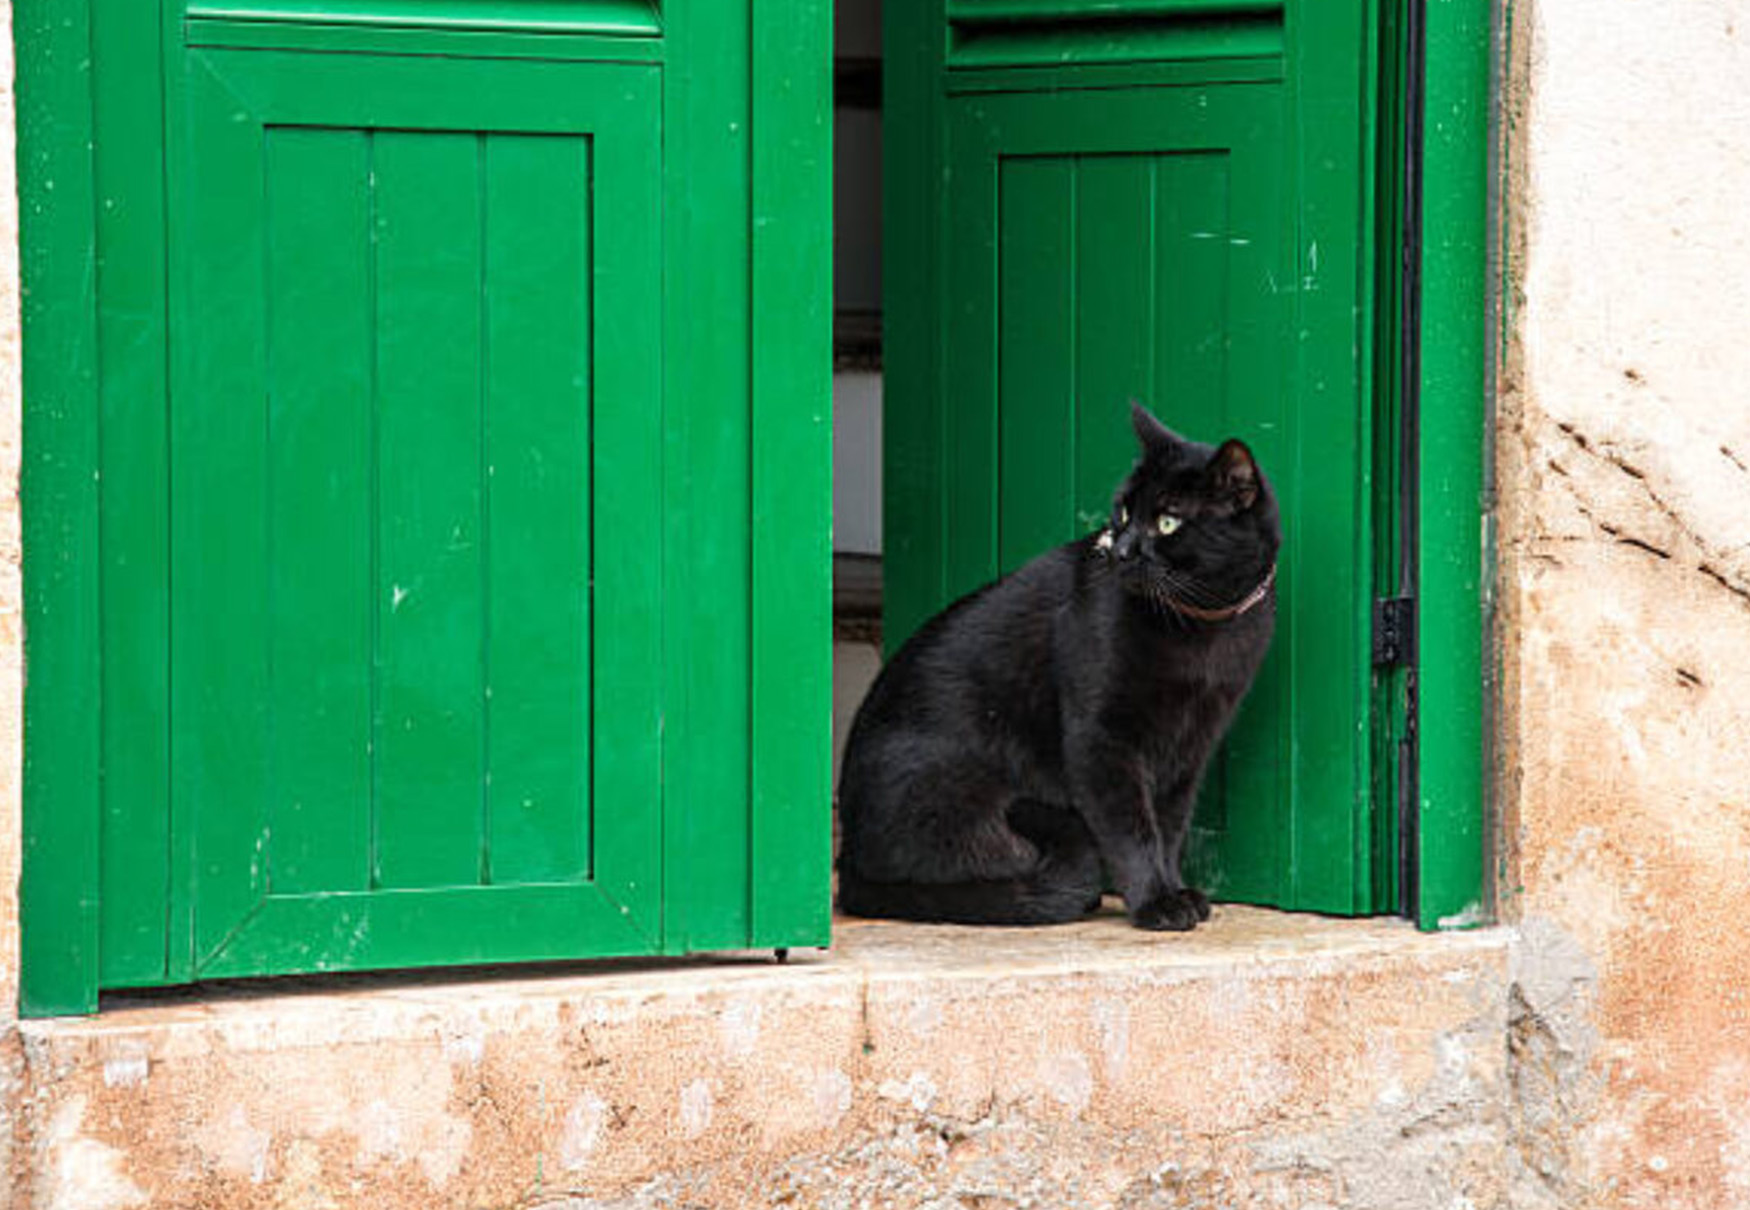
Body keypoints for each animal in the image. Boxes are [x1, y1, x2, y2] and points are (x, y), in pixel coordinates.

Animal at [840, 402, 1281, 931]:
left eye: (1168, 522)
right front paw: (1157, 902)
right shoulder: (1100, 740)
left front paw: (1176, 890)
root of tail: (848, 859)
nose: (1121, 550)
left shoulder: (1191, 746)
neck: (1201, 630)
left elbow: (1171, 827)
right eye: (1125, 512)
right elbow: (1133, 830)